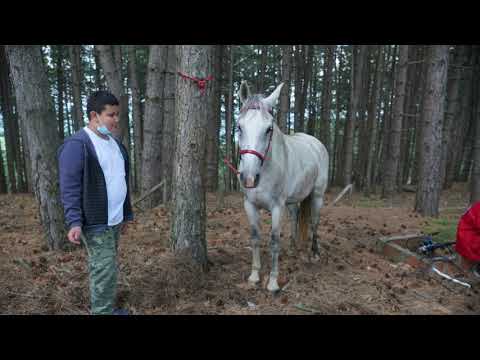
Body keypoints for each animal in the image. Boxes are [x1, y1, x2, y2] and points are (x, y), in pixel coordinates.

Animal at [236, 81, 330, 292]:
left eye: (268, 129)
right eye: (239, 127)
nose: (249, 178)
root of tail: (316, 143)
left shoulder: (277, 207)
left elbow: (274, 240)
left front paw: (272, 282)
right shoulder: (249, 205)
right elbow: (255, 237)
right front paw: (254, 276)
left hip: (317, 196)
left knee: (315, 222)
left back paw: (315, 253)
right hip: (294, 199)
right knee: (295, 216)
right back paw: (293, 248)